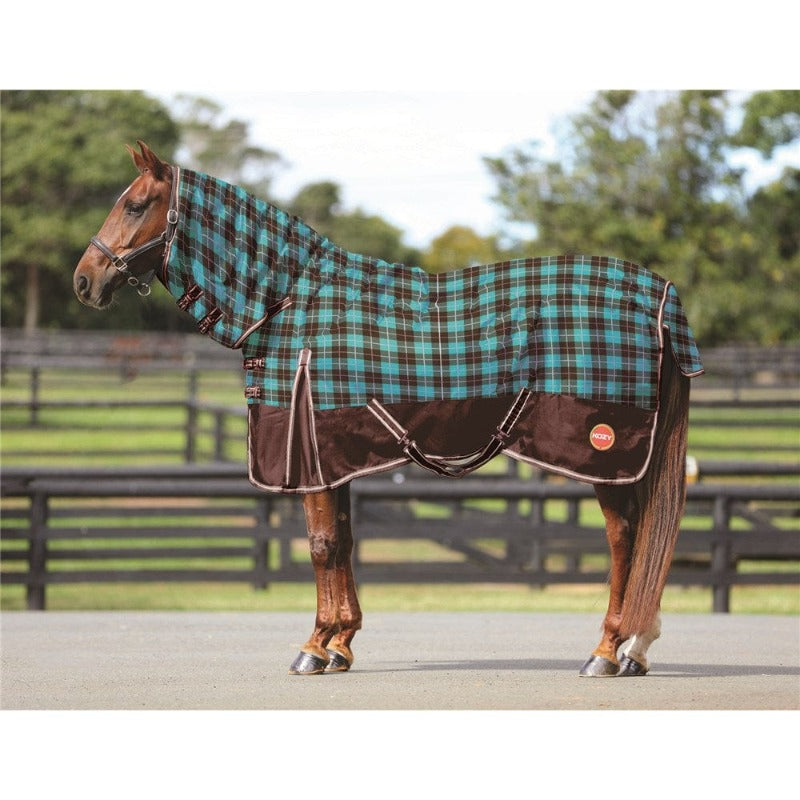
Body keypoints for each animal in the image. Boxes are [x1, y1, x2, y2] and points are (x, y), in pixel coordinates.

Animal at [74, 141, 704, 677]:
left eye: (134, 205)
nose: (84, 280)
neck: (290, 302)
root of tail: (660, 292)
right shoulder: (333, 455)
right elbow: (344, 541)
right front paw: (340, 644)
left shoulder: (310, 456)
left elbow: (321, 546)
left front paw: (313, 647)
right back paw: (636, 650)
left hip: (604, 454)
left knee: (625, 538)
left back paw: (608, 649)